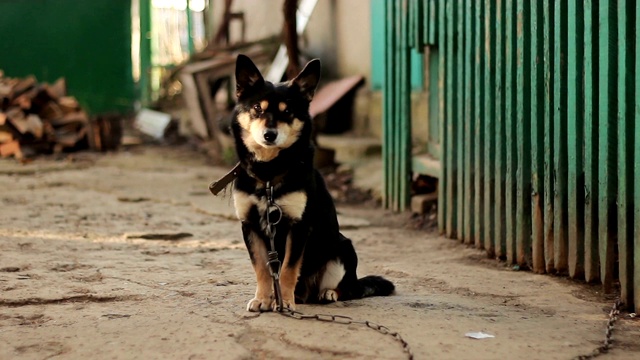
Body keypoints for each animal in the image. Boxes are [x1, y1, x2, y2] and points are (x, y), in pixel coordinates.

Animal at [228, 54, 392, 310]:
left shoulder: (299, 226)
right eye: (257, 108)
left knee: (348, 289)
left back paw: (327, 293)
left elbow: (287, 269)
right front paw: (263, 299)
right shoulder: (250, 225)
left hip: (343, 248)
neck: (269, 172)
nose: (269, 135)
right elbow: (262, 269)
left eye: (287, 111)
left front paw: (285, 302)